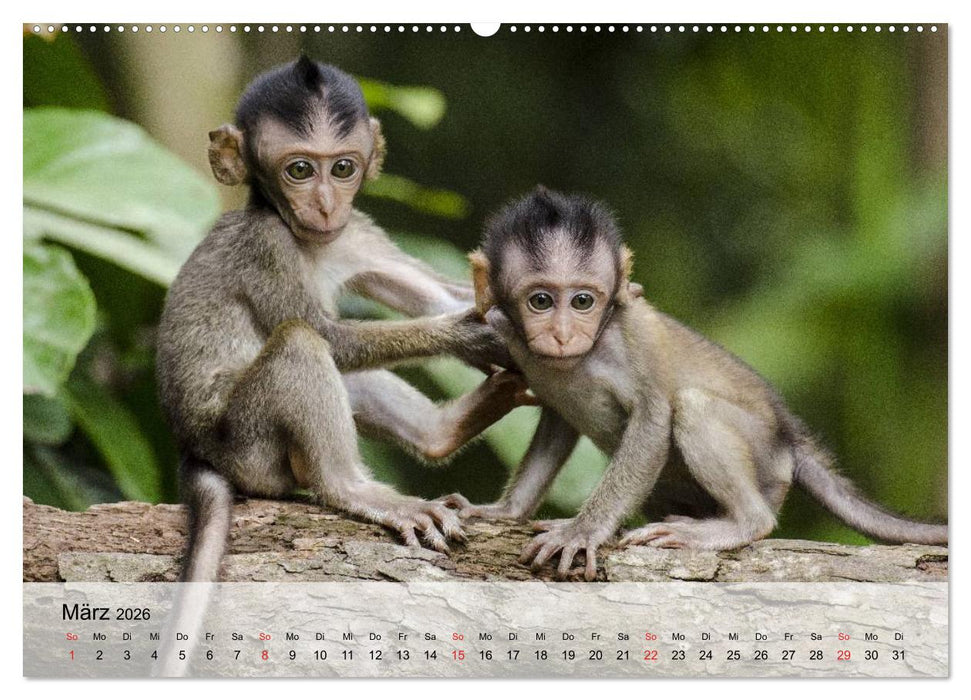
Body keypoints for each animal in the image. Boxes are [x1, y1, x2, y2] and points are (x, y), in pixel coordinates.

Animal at [445, 186, 947, 581]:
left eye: (583, 301)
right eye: (541, 301)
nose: (564, 334)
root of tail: (788, 436)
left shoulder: (636, 336)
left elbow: (652, 420)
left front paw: (583, 530)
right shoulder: (511, 337)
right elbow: (557, 421)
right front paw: (505, 511)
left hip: (766, 462)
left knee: (693, 407)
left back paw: (741, 523)